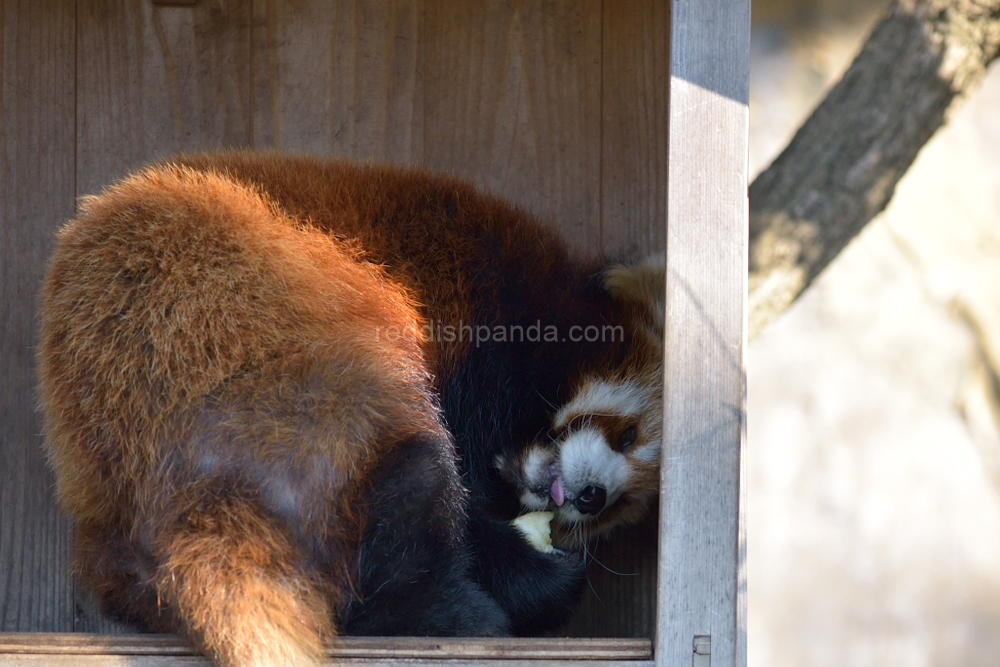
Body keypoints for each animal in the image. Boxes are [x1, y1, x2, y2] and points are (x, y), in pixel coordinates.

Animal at [37, 153, 664, 667]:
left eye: (618, 507)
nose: (592, 496)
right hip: (280, 353)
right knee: (409, 488)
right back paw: (455, 614)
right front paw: (541, 578)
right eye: (628, 435)